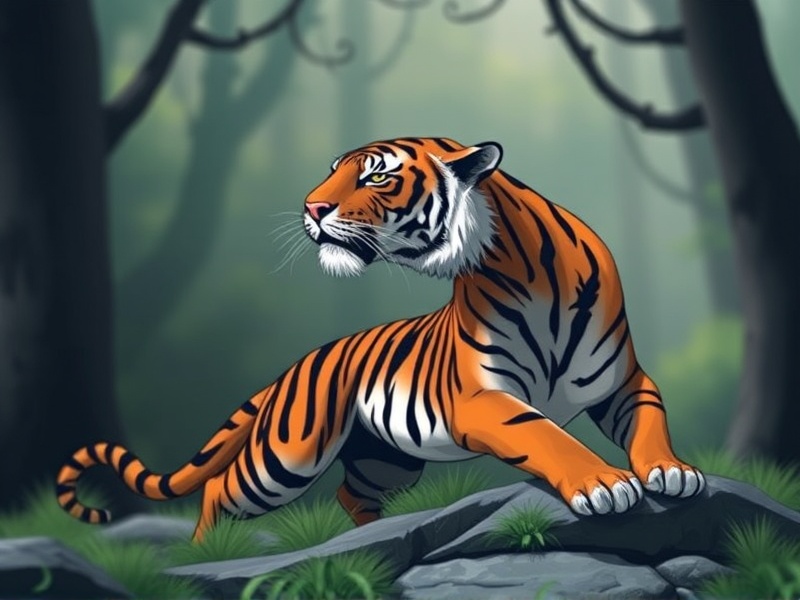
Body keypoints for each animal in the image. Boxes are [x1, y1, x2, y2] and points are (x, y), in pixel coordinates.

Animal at [56, 137, 705, 541]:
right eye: (335, 170)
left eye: (377, 173)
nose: (310, 206)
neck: (529, 274)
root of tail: (293, 367)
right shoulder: (481, 398)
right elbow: (544, 433)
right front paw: (604, 483)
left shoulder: (624, 380)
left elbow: (651, 422)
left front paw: (673, 471)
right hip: (285, 457)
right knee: (218, 487)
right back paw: (201, 555)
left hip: (384, 460)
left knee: (350, 496)